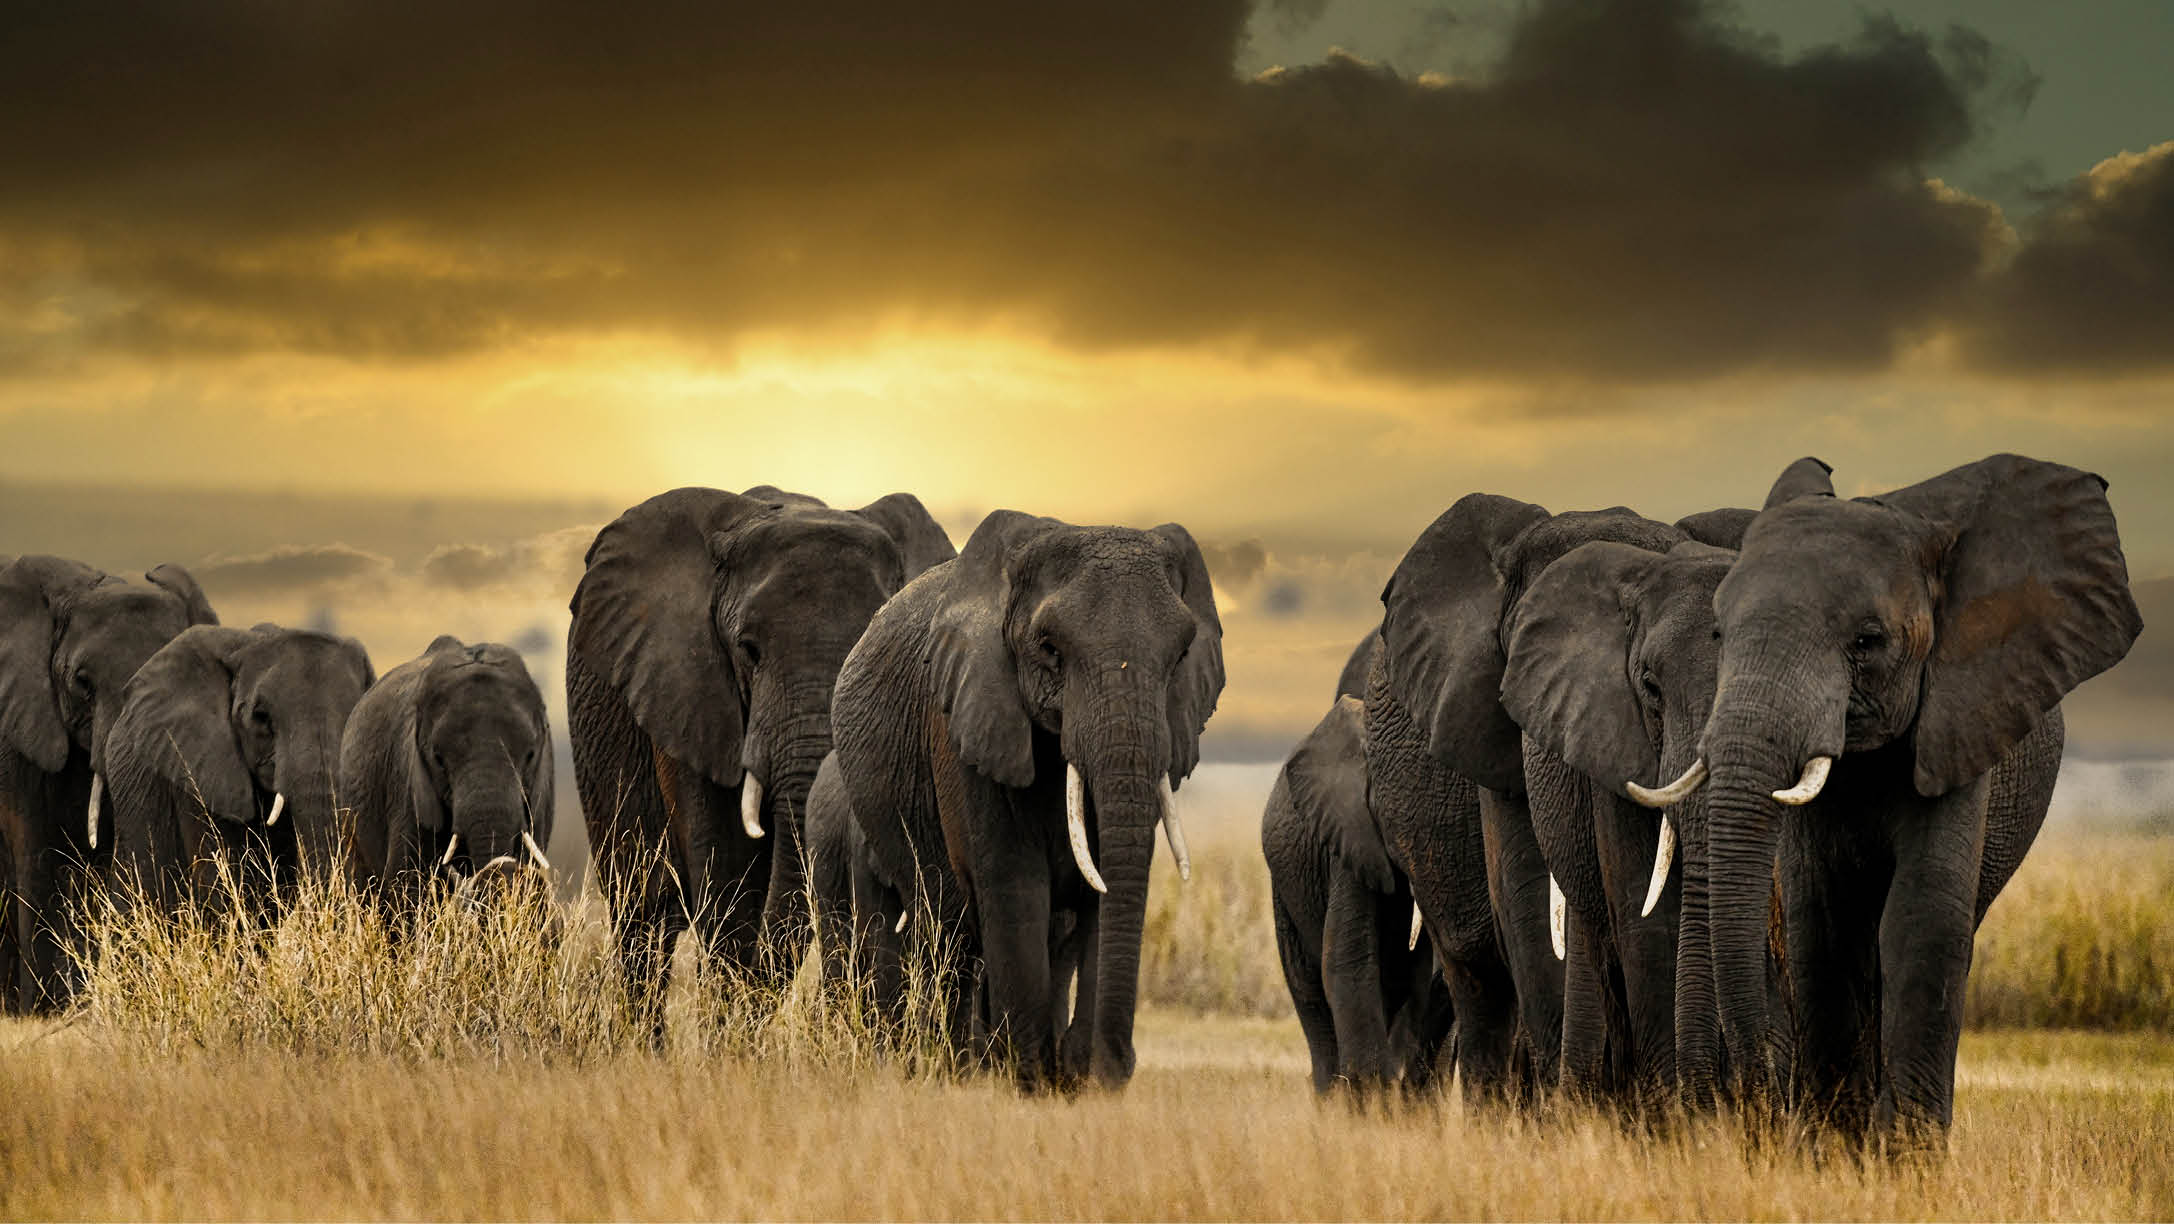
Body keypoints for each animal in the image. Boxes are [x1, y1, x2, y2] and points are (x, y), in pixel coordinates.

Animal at [565, 485, 954, 1036]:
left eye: (865, 650)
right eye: (749, 650)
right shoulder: (689, 686)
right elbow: (725, 874)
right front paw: (728, 1043)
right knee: (643, 917)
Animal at [830, 511, 1224, 1090]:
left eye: (1180, 656)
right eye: (1049, 650)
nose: (1117, 1066)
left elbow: (1104, 885)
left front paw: (1078, 1081)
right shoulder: (968, 719)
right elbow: (1015, 882)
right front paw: (1032, 1079)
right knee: (946, 930)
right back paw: (954, 1069)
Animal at [1673, 454, 2140, 1148]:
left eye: (1867, 642)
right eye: (1718, 633)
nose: (1758, 1100)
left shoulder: (1962, 715)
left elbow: (1923, 918)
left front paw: (1906, 1154)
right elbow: (1823, 922)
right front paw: (1836, 1151)